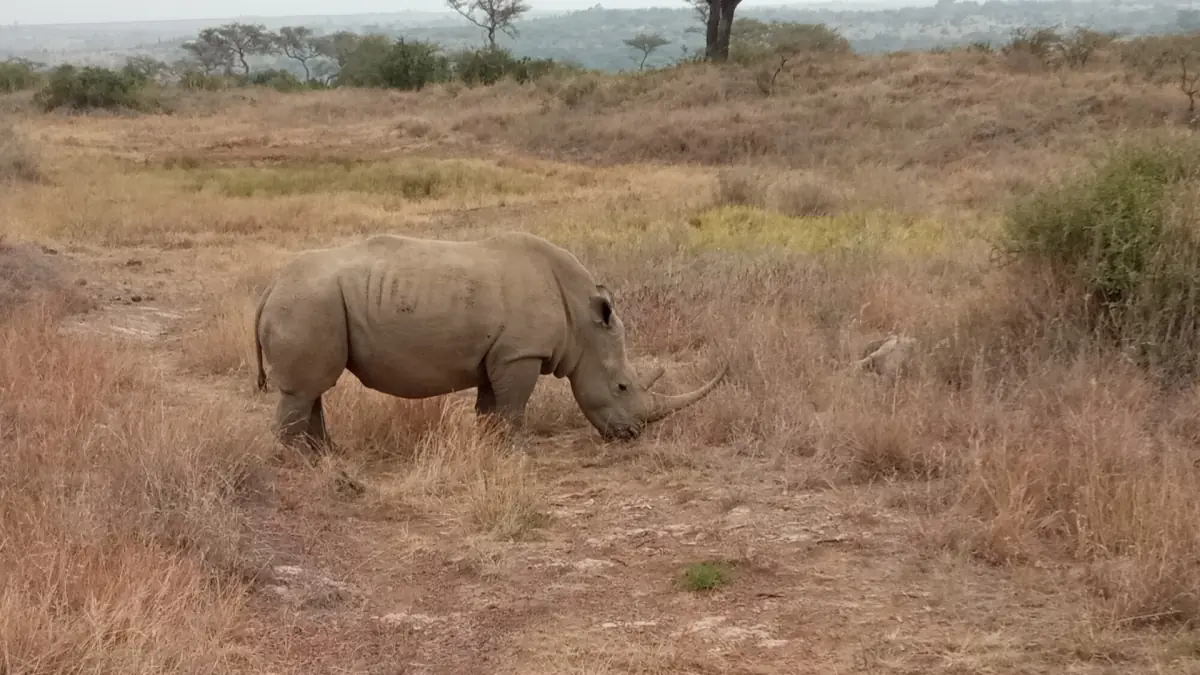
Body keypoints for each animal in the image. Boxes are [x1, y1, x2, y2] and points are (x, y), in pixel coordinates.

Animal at [252, 231, 728, 452]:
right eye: (622, 386)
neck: (582, 320)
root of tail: (270, 287)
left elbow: (490, 407)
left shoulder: (498, 353)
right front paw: (520, 451)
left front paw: (489, 445)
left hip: (313, 303)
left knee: (314, 388)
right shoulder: (521, 353)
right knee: (306, 388)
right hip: (309, 303)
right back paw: (305, 465)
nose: (631, 435)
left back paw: (327, 456)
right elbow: (514, 406)